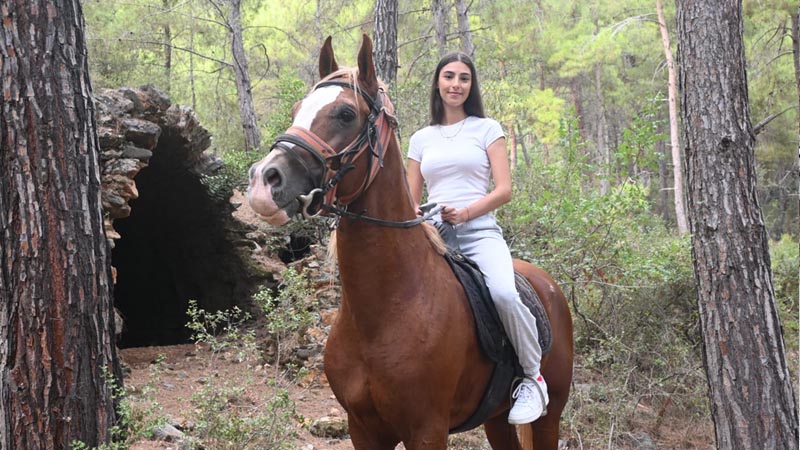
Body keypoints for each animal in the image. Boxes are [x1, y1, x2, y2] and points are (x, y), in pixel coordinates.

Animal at [247, 34, 573, 450]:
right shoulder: (363, 429)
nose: (264, 180)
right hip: (497, 418)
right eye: (296, 109)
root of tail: (547, 284)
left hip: (550, 416)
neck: (389, 310)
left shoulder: (427, 430)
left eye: (345, 114)